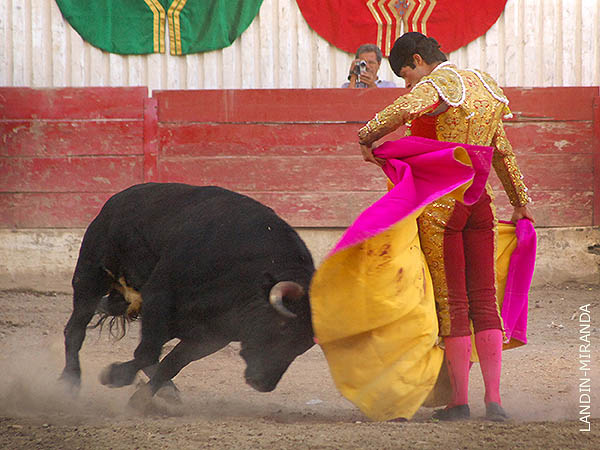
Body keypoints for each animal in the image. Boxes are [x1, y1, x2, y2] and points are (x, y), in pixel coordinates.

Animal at [59, 181, 314, 406]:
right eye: (283, 327)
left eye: (303, 345)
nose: (264, 384)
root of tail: (116, 199)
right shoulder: (159, 298)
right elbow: (147, 353)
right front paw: (113, 375)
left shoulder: (212, 335)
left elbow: (171, 363)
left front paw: (141, 399)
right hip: (90, 276)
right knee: (75, 329)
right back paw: (69, 381)